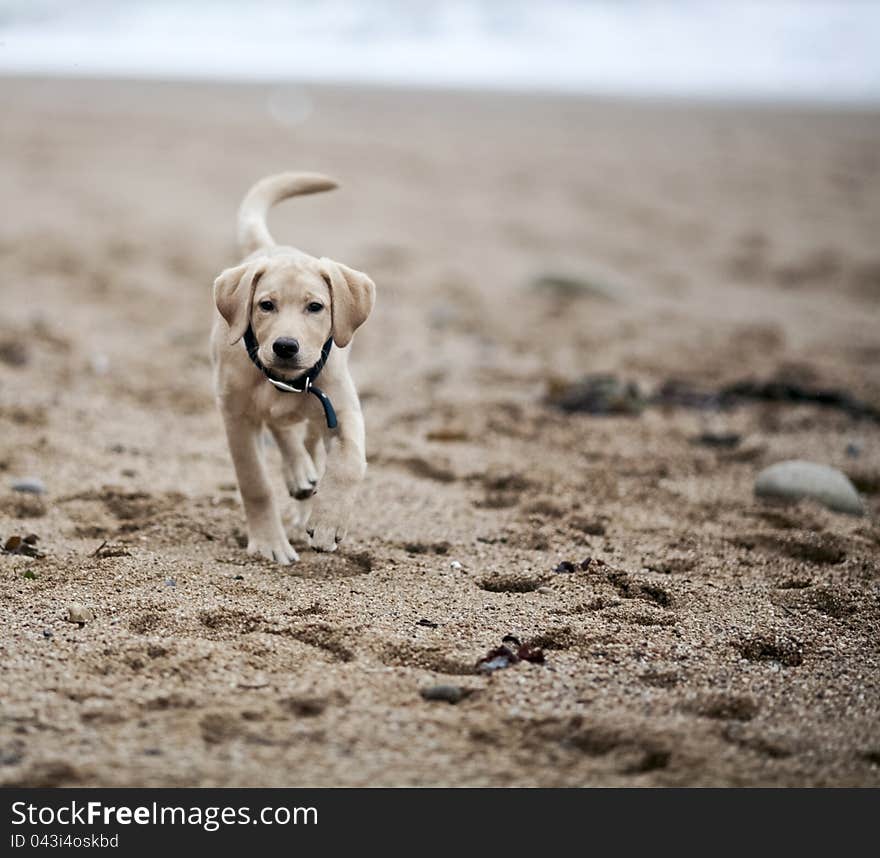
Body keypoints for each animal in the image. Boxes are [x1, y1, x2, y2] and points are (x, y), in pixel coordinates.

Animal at [215, 172, 376, 560]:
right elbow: (255, 483)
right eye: (266, 305)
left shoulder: (341, 409)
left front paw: (328, 523)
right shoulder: (235, 416)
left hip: (320, 415)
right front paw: (269, 543)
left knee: (305, 439)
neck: (285, 381)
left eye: (315, 307)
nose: (285, 347)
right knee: (283, 431)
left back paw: (306, 483)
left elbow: (350, 462)